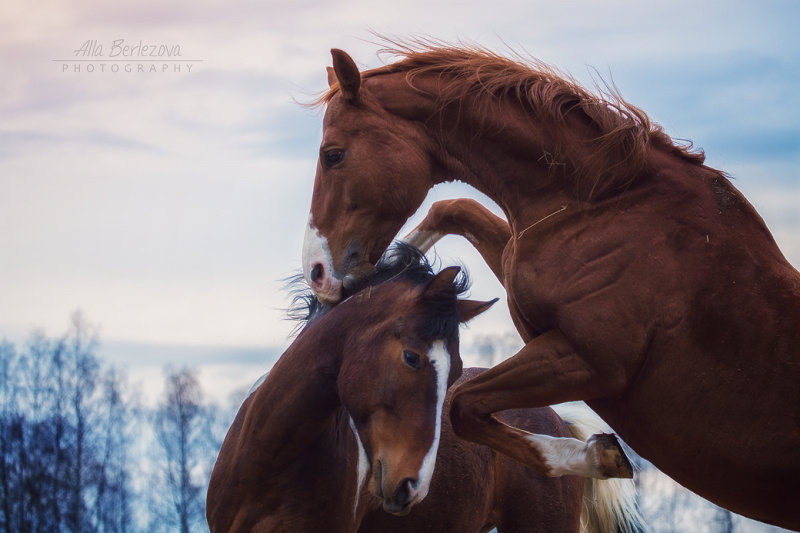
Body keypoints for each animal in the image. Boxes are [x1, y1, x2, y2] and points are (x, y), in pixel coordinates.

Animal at [300, 44, 800, 528]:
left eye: (333, 154)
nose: (317, 272)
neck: (608, 203)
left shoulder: (589, 362)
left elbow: (462, 403)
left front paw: (599, 455)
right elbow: (454, 207)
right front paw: (398, 270)